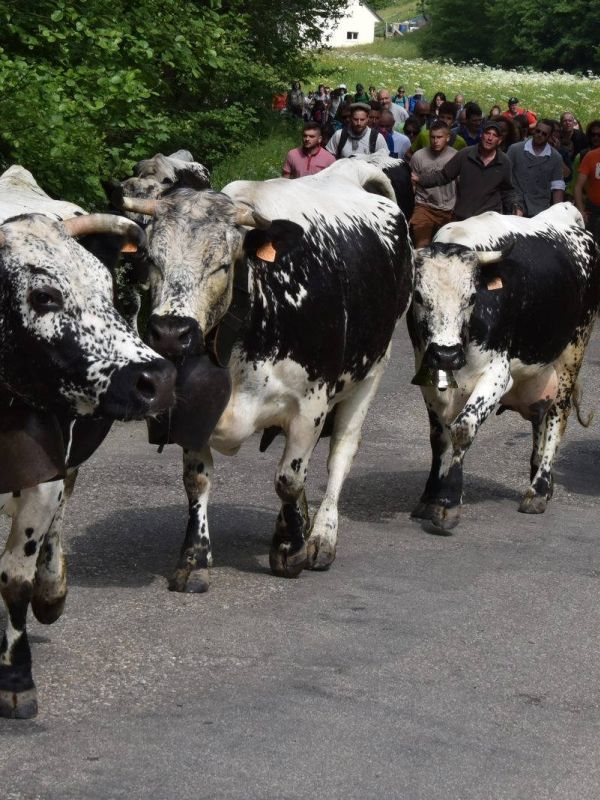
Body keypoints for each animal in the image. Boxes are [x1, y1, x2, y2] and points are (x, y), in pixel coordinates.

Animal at [0, 206, 177, 720]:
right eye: (43, 295)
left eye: (105, 286)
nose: (158, 380)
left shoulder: (41, 479)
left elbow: (14, 578)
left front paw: (15, 679)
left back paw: (52, 590)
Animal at [119, 159, 414, 592]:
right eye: (153, 260)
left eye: (223, 264)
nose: (171, 332)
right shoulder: (196, 411)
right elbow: (197, 482)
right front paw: (195, 560)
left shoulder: (311, 405)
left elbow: (288, 480)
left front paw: (290, 550)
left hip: (371, 372)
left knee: (340, 454)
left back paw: (321, 537)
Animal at [408, 203, 600, 532]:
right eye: (419, 297)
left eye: (472, 297)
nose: (446, 355)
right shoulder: (427, 373)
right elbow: (438, 437)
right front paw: (429, 497)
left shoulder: (497, 375)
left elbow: (463, 427)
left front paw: (448, 503)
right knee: (541, 419)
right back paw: (541, 481)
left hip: (572, 353)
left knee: (557, 417)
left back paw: (539, 490)